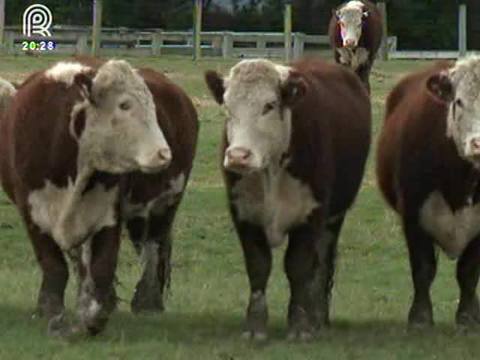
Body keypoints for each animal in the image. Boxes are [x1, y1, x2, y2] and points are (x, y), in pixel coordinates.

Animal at [0, 57, 198, 336]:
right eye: (124, 105)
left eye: (152, 106)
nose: (163, 154)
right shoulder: (32, 213)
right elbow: (55, 266)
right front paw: (52, 312)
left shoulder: (108, 215)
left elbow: (103, 266)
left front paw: (95, 316)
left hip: (163, 205)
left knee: (153, 249)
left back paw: (147, 303)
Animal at [204, 59, 370, 340]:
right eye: (227, 106)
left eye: (269, 105)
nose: (238, 156)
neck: (271, 168)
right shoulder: (244, 214)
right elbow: (258, 267)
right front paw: (255, 327)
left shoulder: (311, 214)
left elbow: (299, 267)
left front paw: (300, 326)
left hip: (334, 219)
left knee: (322, 264)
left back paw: (318, 317)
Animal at [376, 57, 480, 330]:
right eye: (459, 101)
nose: (478, 144)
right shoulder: (413, 213)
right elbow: (423, 269)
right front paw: (420, 318)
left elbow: (469, 272)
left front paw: (468, 317)